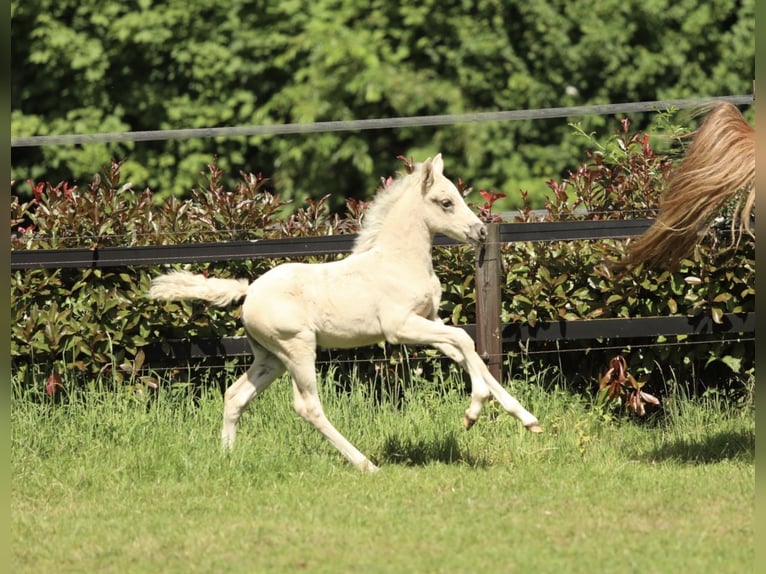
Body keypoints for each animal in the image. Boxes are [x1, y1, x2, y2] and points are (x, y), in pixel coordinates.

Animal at [148, 154, 542, 472]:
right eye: (445, 202)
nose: (480, 232)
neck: (399, 261)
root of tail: (249, 292)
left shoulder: (429, 321)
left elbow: (467, 350)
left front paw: (527, 419)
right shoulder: (401, 327)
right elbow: (464, 340)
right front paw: (473, 412)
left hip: (270, 358)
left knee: (235, 396)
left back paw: (227, 457)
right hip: (297, 348)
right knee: (307, 406)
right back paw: (366, 464)